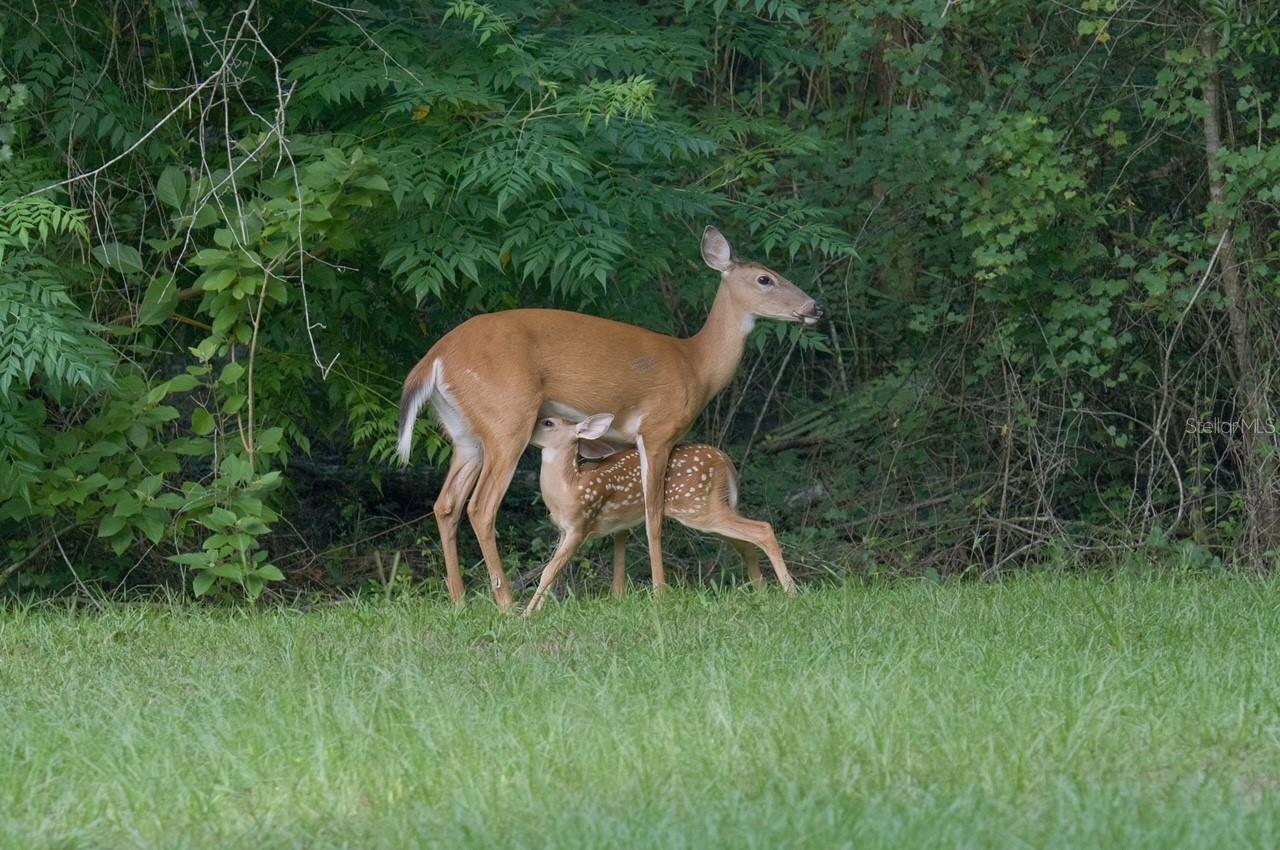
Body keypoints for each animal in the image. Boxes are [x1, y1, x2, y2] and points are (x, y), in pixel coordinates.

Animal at [394, 227, 824, 611]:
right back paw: (505, 602)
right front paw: (660, 593)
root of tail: (434, 359)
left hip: (464, 432)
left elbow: (624, 526)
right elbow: (653, 514)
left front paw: (619, 594)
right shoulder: (658, 428)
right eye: (765, 278)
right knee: (482, 507)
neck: (697, 366)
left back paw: (460, 601)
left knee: (446, 504)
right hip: (507, 418)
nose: (815, 308)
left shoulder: (618, 441)